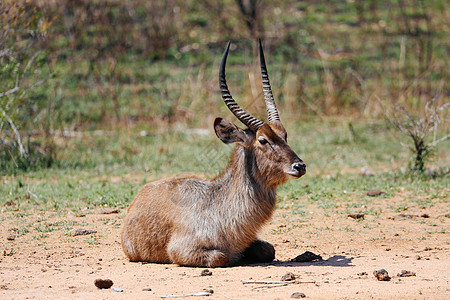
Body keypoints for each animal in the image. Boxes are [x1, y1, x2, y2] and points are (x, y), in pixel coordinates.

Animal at [121, 39, 306, 268]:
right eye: (263, 140)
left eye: (285, 135)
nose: (300, 166)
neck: (218, 206)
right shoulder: (181, 250)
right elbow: (221, 256)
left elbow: (268, 250)